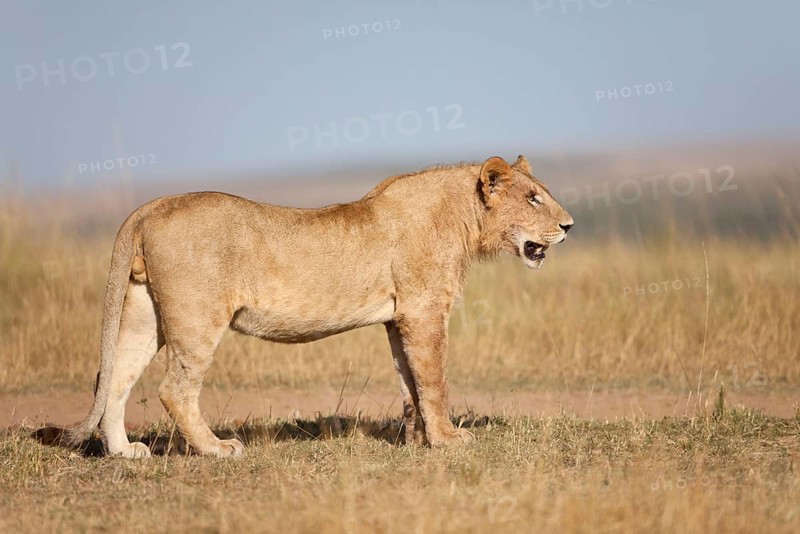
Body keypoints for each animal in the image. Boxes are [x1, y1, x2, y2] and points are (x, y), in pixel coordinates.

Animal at [61, 155, 573, 458]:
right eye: (533, 198)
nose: (569, 225)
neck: (464, 218)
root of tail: (151, 206)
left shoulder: (399, 318)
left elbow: (409, 382)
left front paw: (414, 441)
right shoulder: (425, 309)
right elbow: (434, 380)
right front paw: (448, 440)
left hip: (144, 313)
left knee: (114, 378)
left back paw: (125, 453)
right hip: (197, 318)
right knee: (174, 389)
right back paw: (216, 449)